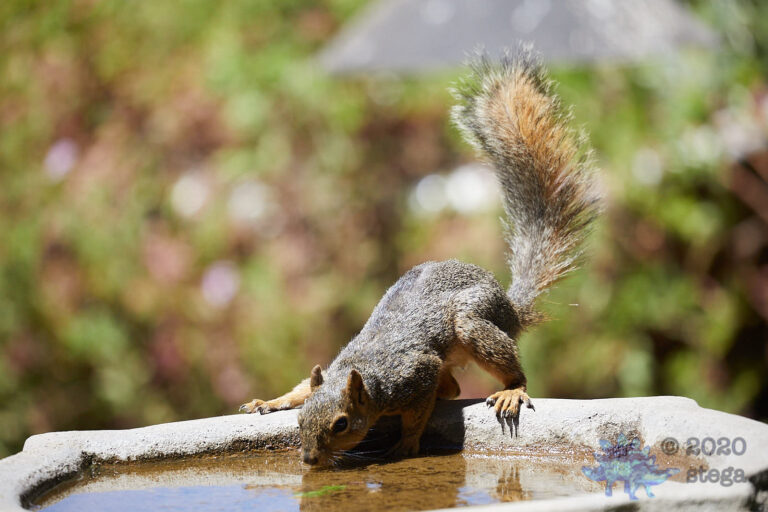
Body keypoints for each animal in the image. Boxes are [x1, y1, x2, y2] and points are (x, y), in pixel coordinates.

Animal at [240, 48, 600, 467]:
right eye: (300, 421)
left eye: (342, 424)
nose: (309, 460)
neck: (365, 374)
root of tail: (510, 308)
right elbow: (303, 387)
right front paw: (272, 401)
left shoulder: (417, 374)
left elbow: (417, 413)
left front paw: (406, 444)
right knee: (454, 387)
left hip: (474, 322)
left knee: (497, 373)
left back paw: (512, 389)